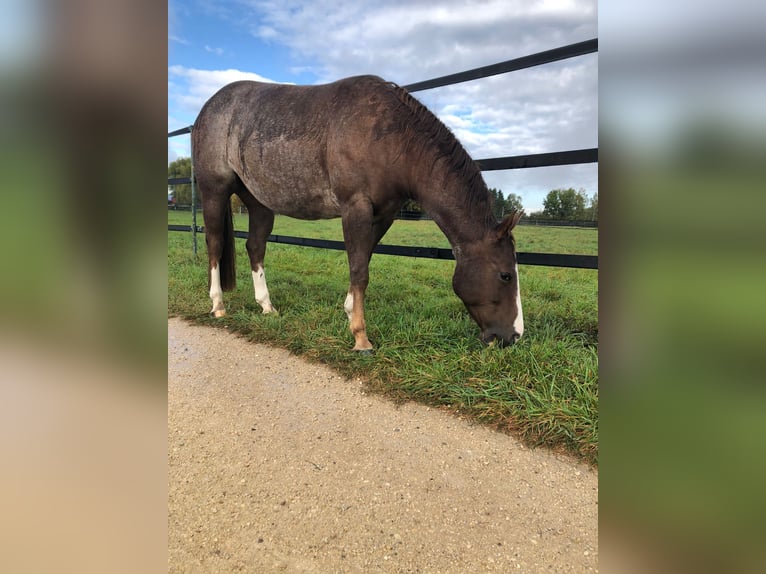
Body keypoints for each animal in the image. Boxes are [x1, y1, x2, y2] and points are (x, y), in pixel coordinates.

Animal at [195, 74, 524, 354]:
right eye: (506, 275)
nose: (513, 336)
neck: (392, 138)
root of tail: (208, 109)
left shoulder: (383, 215)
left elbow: (363, 261)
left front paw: (350, 310)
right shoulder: (356, 207)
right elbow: (359, 270)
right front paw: (361, 337)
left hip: (259, 203)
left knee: (255, 247)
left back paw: (266, 306)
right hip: (214, 191)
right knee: (215, 243)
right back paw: (218, 305)